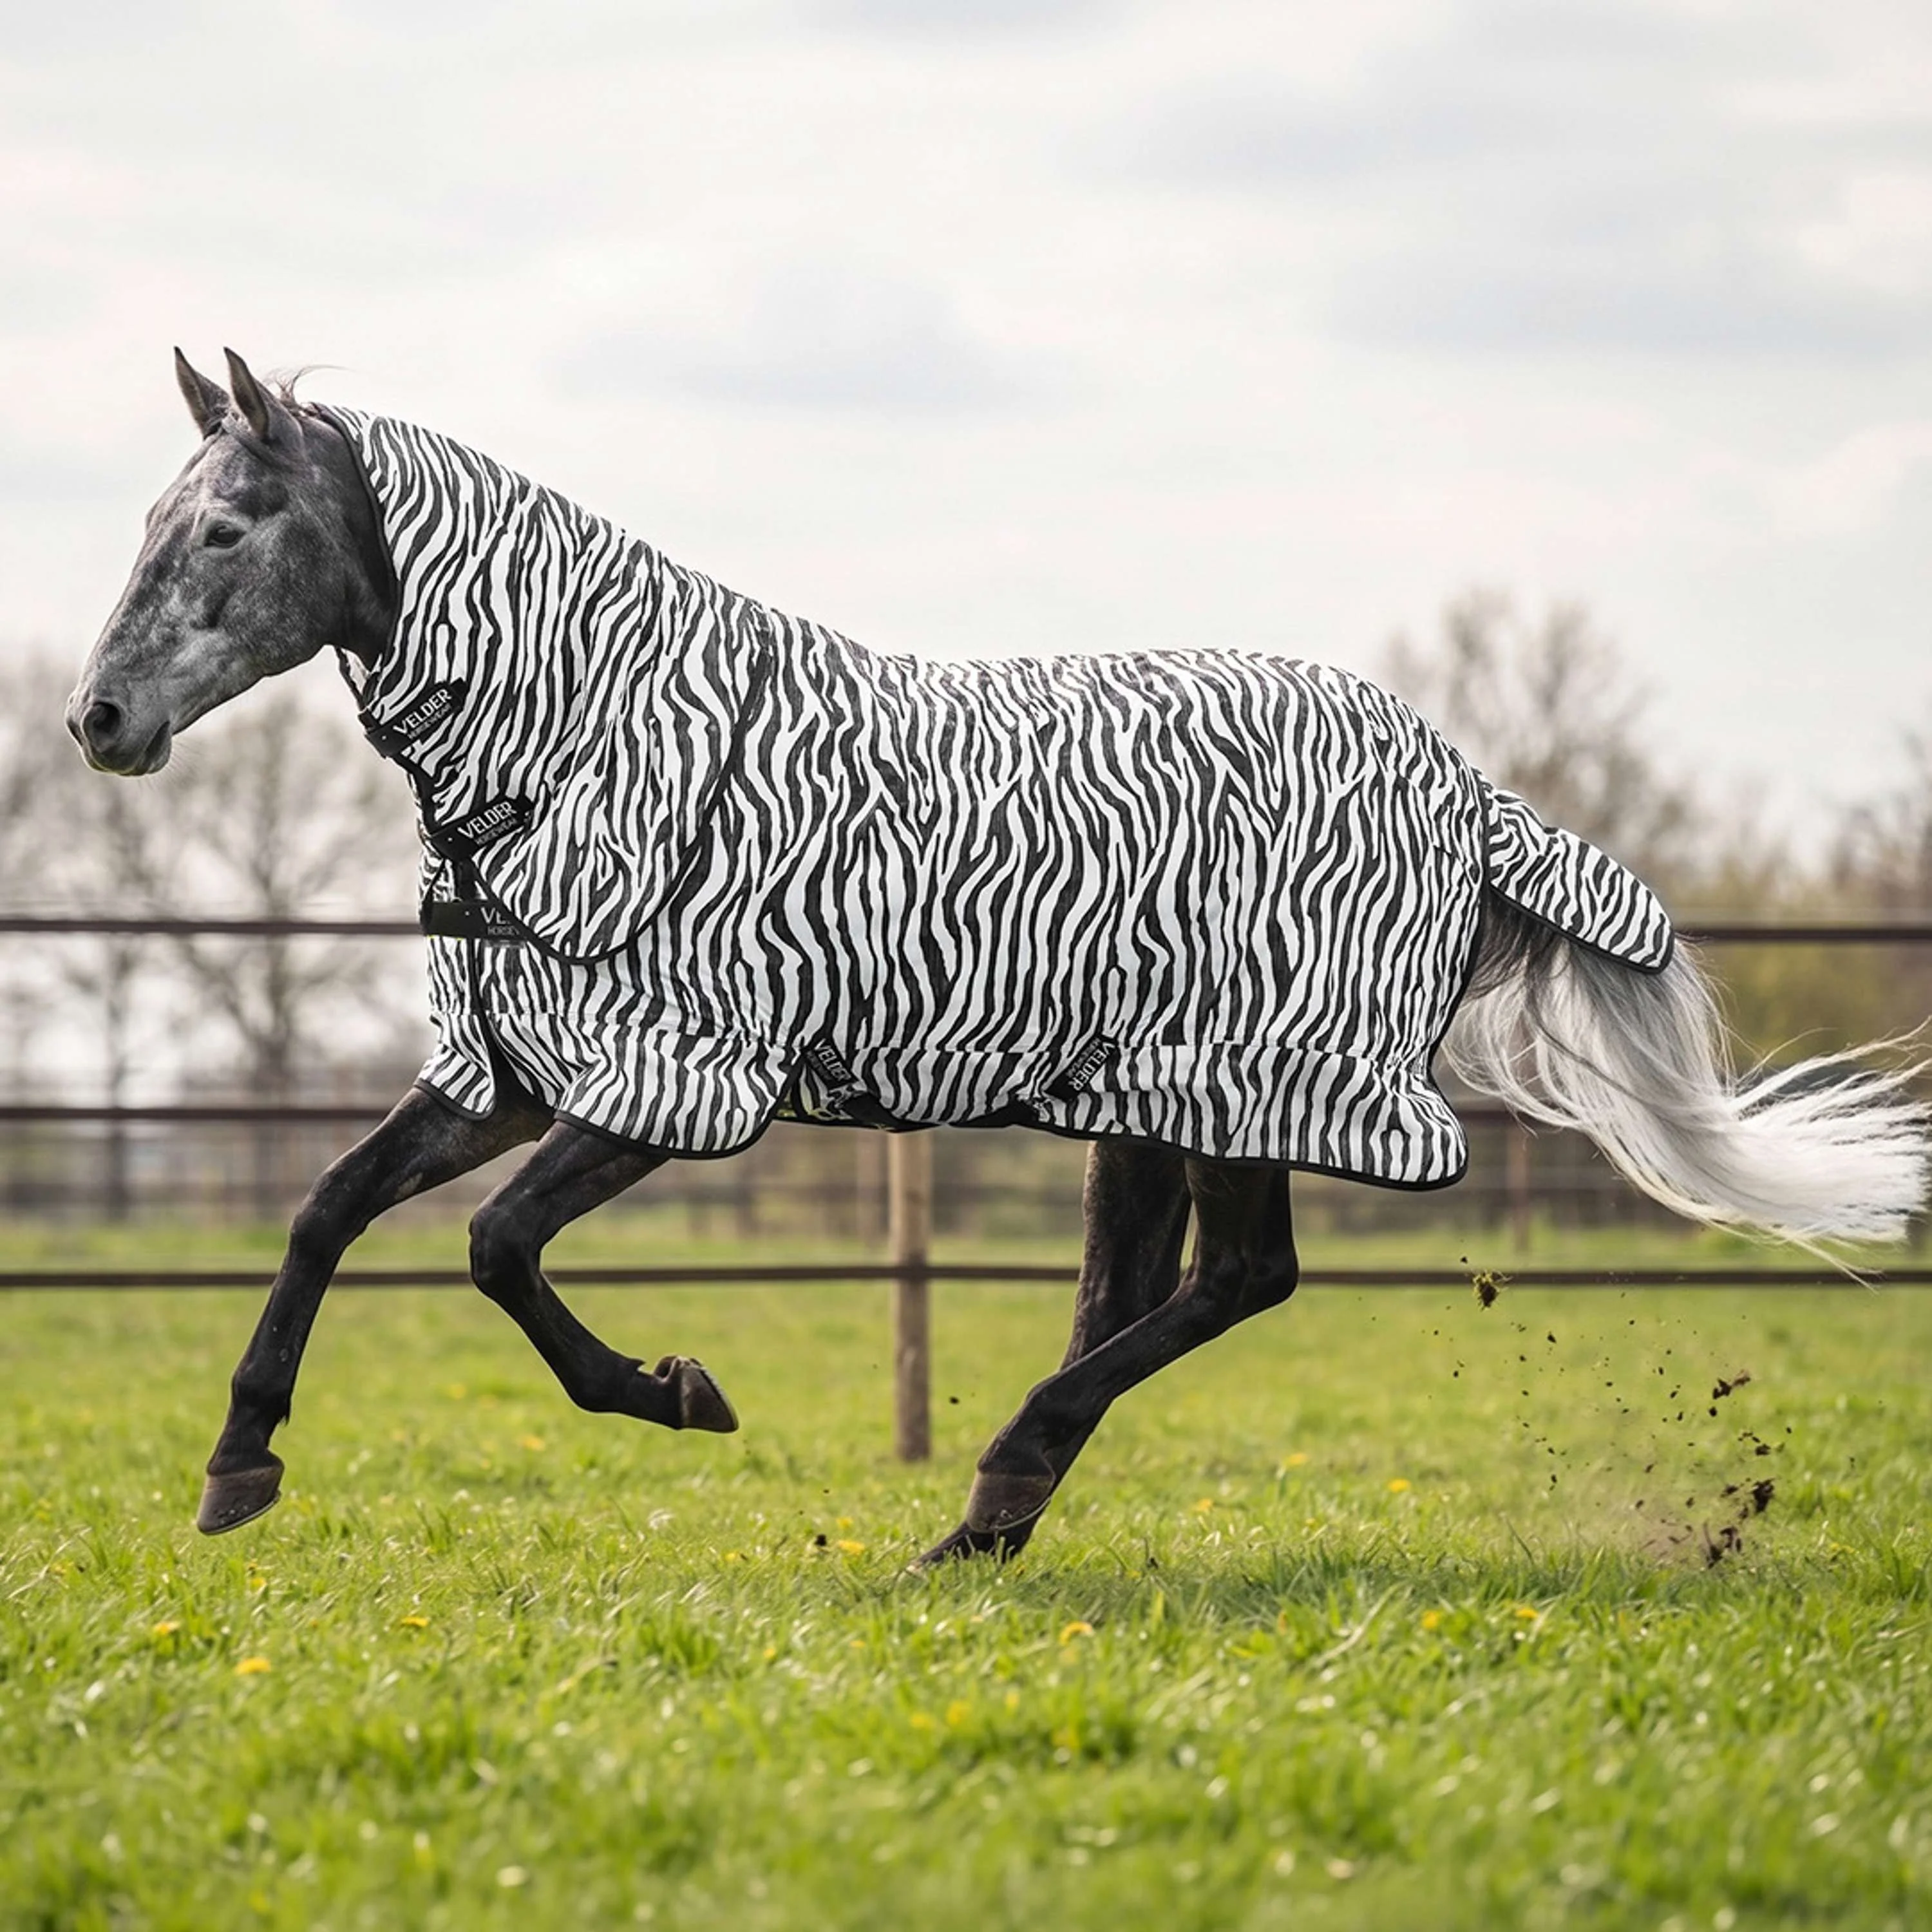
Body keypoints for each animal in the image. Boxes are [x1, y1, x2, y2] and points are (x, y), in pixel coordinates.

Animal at [66, 349, 1928, 1560]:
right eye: (154, 515)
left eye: (225, 529)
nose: (98, 722)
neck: (587, 744)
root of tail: (1471, 794)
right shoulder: (510, 1069)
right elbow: (327, 1210)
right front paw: (238, 1470)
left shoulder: (674, 1083)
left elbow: (493, 1252)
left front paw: (682, 1393)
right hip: (1145, 1104)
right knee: (1149, 1290)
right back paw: (989, 1518)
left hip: (1244, 1085)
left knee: (1237, 1282)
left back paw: (994, 1486)